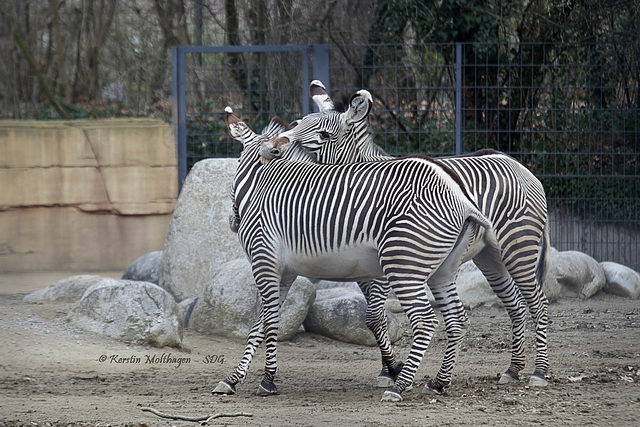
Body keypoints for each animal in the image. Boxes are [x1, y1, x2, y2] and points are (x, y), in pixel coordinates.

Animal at [218, 105, 492, 402]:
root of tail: (460, 196)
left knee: (425, 321)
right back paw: (439, 382)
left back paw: (399, 386)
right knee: (457, 319)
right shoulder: (284, 273)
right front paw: (234, 378)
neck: (263, 184)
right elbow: (260, 323)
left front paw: (267, 379)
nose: (233, 222)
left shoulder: (264, 261)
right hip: (443, 269)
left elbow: (268, 322)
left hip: (403, 264)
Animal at [262, 79, 552, 392]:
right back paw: (513, 369)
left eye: (324, 135)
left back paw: (539, 372)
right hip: (491, 257)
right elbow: (374, 319)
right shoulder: (361, 269)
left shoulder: (381, 267)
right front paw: (389, 370)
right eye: (296, 123)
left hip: (518, 247)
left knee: (538, 303)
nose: (271, 148)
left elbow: (374, 316)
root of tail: (518, 165)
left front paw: (392, 371)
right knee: (516, 305)